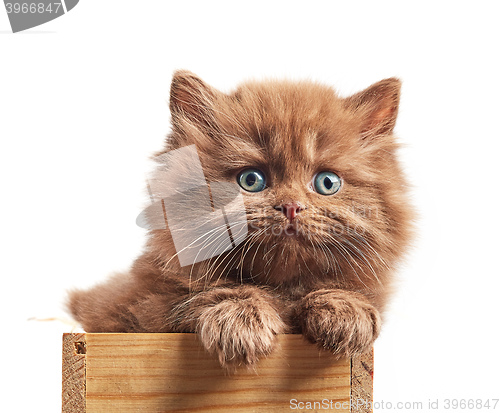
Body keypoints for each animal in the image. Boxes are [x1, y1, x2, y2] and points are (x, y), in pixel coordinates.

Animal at [69, 70, 414, 366]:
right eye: (251, 180)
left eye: (327, 183)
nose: (291, 206)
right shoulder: (136, 308)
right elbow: (211, 290)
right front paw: (239, 318)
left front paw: (345, 309)